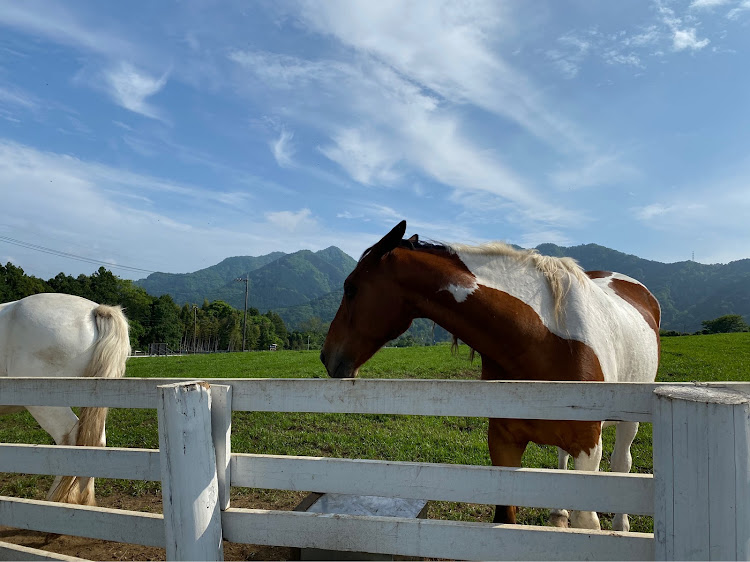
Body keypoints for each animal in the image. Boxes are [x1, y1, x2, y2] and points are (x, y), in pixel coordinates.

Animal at [320, 219, 660, 528]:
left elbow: (588, 522)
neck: (542, 339)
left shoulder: (588, 448)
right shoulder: (503, 442)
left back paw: (622, 526)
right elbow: (505, 516)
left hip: (629, 420)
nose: (326, 357)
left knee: (622, 464)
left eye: (351, 289)